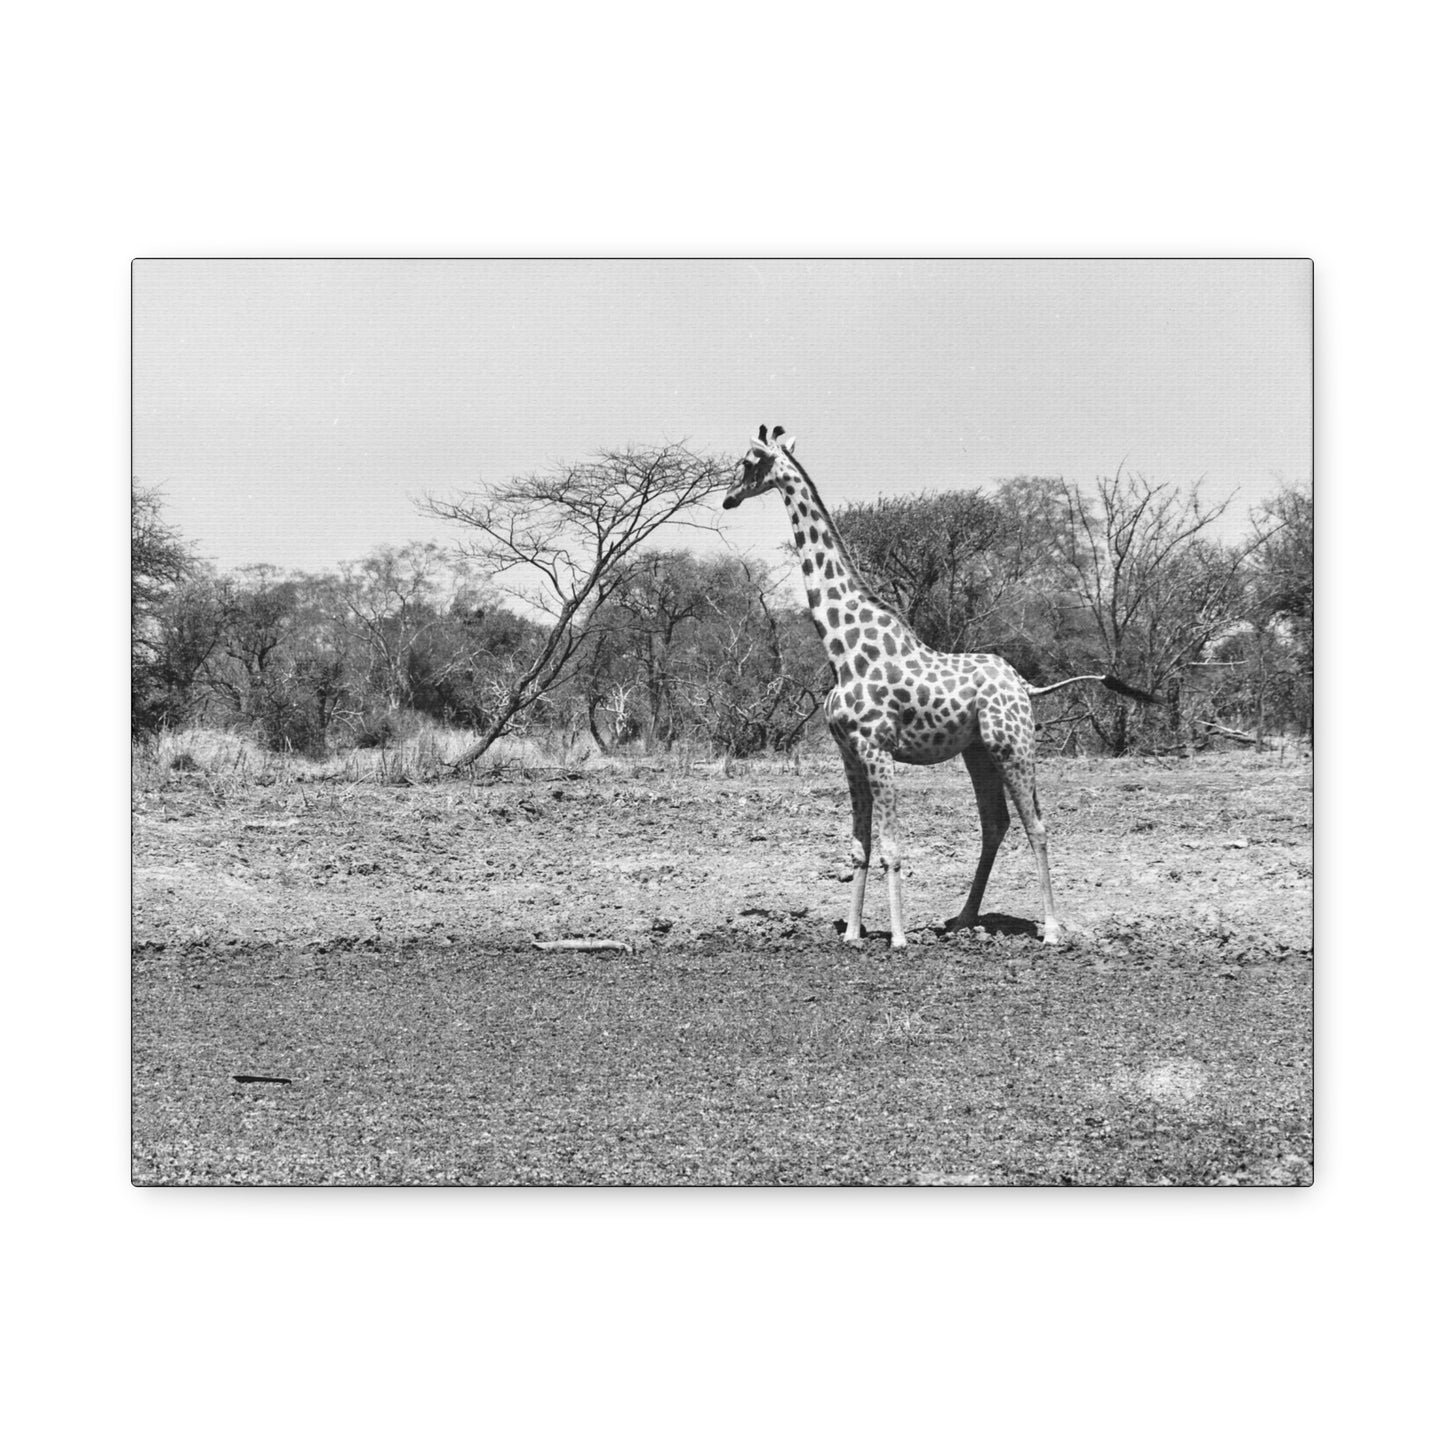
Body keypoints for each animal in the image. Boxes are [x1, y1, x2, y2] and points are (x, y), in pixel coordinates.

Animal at [722, 426, 1158, 948]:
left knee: (1037, 824)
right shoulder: (849, 754)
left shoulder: (877, 750)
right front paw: (852, 933)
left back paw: (1051, 929)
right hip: (979, 751)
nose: (728, 498)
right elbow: (858, 847)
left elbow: (891, 847)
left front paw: (897, 938)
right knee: (995, 823)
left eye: (749, 462)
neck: (842, 651)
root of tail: (1025, 686)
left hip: (1014, 744)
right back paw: (964, 919)